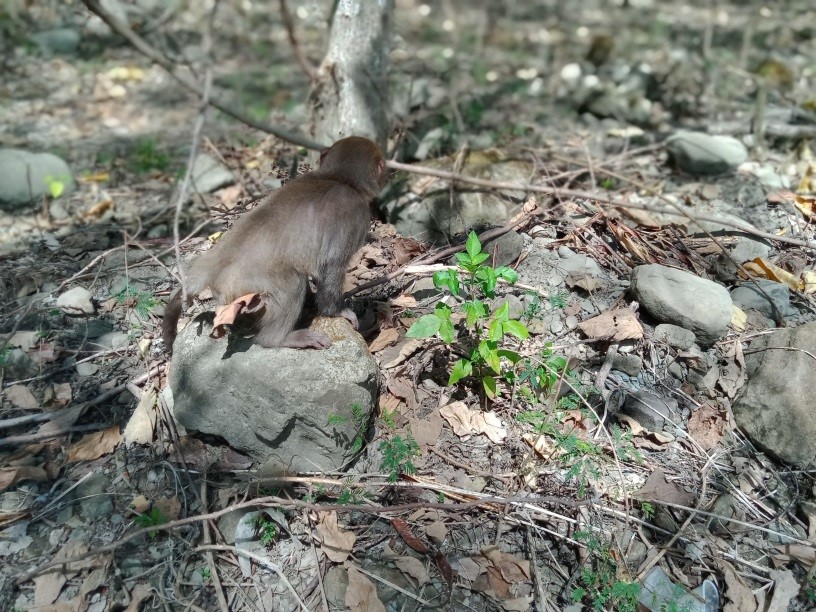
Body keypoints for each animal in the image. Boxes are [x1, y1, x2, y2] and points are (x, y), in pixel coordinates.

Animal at [163, 136, 388, 352]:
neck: (339, 178)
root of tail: (214, 264)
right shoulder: (355, 216)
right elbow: (331, 265)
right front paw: (337, 311)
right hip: (249, 287)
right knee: (293, 281)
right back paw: (277, 339)